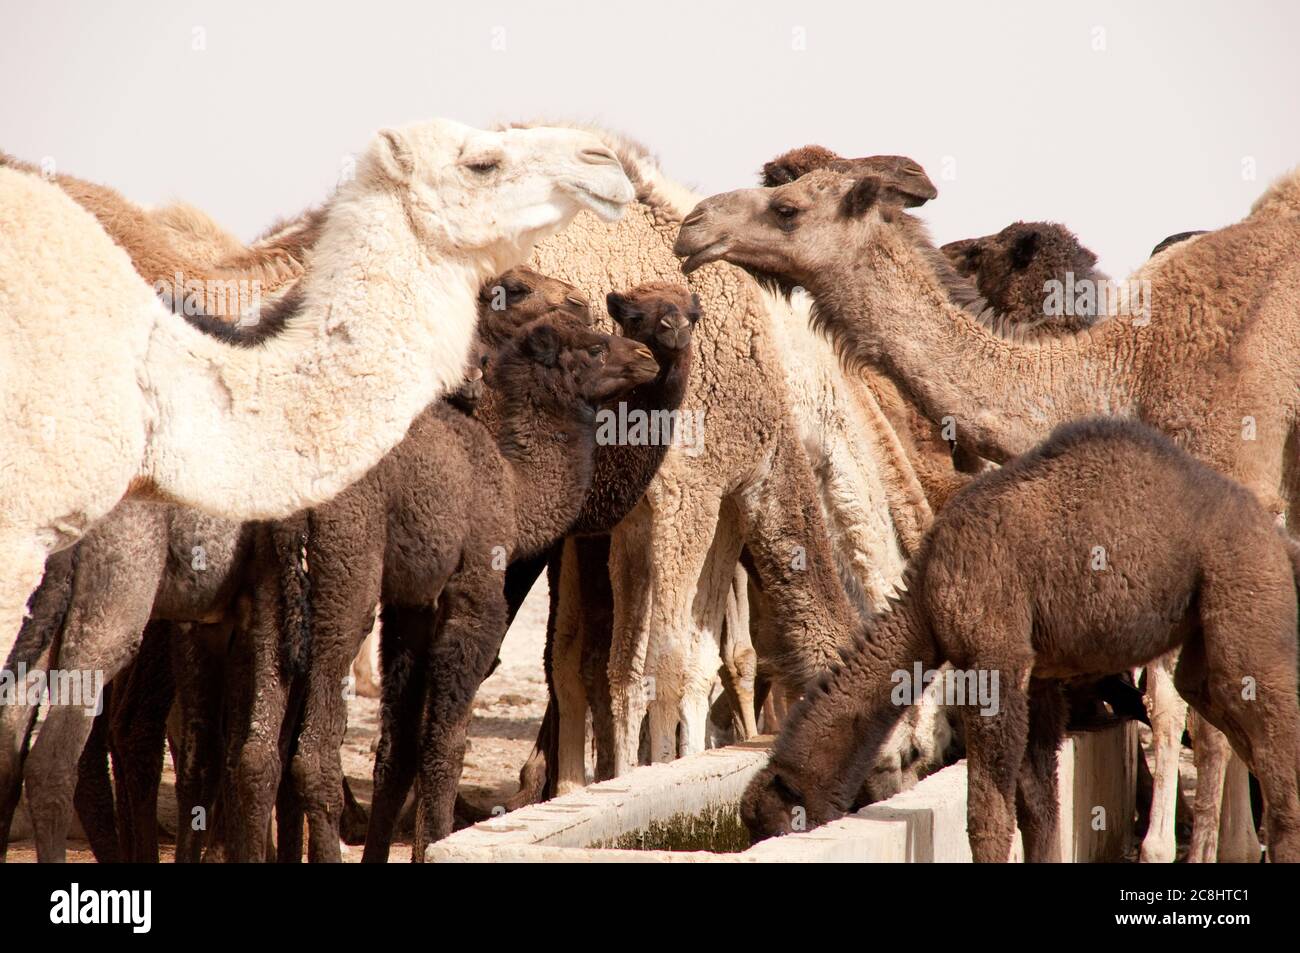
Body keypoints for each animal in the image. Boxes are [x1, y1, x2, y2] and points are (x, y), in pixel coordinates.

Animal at [743, 416, 1300, 863]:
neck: (924, 598)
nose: (756, 837)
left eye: (773, 820)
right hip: (1206, 632)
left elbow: (990, 812)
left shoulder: (993, 654)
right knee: (1221, 708)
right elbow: (1039, 805)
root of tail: (1278, 538)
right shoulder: (1040, 673)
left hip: (1242, 590)